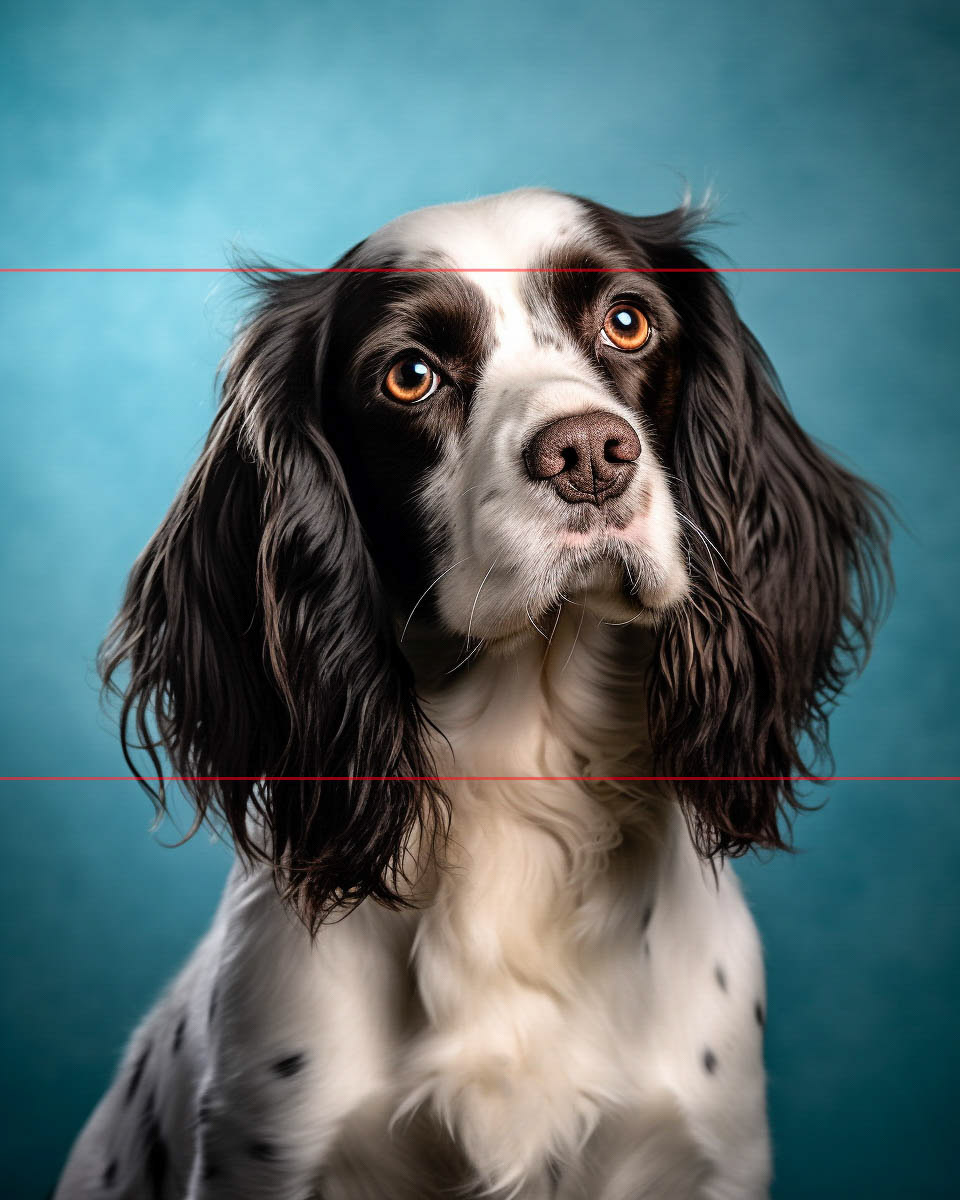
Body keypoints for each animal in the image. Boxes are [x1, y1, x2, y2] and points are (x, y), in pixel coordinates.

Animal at [56, 189, 888, 1200]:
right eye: (410, 376)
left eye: (628, 321)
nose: (589, 453)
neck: (523, 780)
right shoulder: (266, 1153)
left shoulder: (709, 1154)